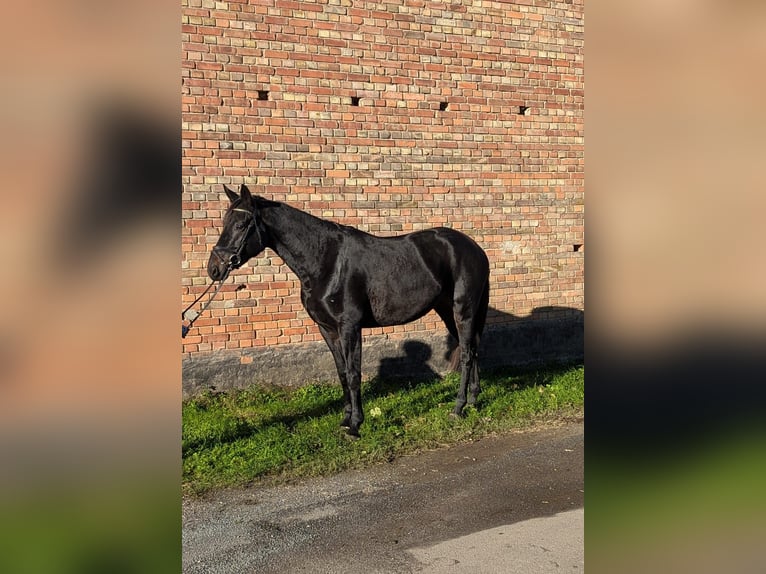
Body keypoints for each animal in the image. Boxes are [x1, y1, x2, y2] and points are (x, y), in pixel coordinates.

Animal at [207, 183, 490, 437]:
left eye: (241, 225)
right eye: (224, 222)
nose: (214, 269)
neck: (326, 262)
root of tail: (475, 248)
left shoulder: (349, 327)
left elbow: (354, 374)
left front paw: (355, 425)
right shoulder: (328, 330)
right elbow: (342, 373)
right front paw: (344, 420)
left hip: (463, 310)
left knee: (467, 354)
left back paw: (458, 407)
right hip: (447, 311)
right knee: (473, 349)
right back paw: (474, 400)